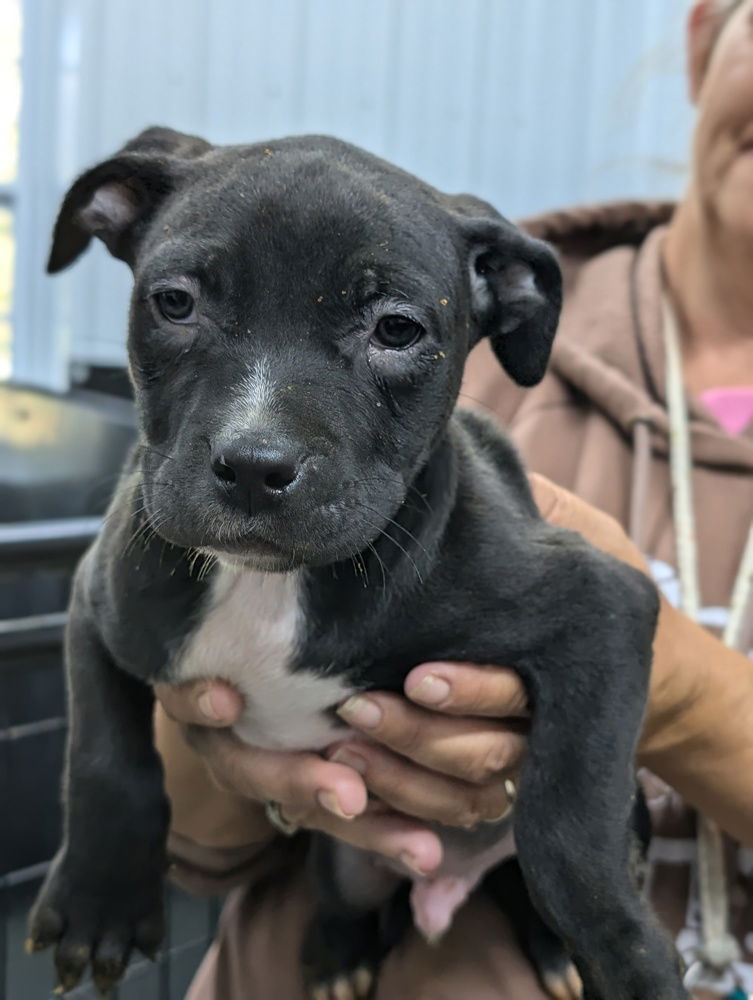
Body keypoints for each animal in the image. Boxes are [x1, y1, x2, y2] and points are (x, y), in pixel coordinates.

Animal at [27, 131, 688, 1000]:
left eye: (396, 330)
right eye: (174, 302)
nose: (254, 465)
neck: (271, 585)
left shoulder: (601, 606)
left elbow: (568, 830)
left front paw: (624, 957)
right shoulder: (101, 598)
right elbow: (105, 755)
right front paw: (100, 904)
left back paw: (549, 951)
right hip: (344, 857)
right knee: (346, 894)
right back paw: (339, 955)